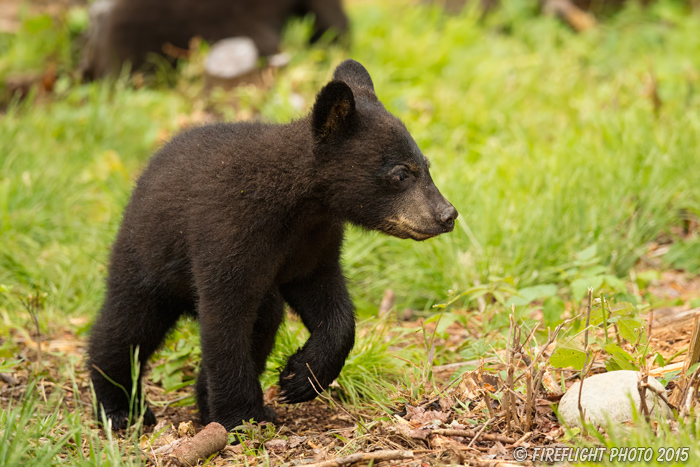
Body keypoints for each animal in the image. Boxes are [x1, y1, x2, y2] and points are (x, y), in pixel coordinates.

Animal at [86, 60, 460, 434]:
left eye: (426, 165)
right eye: (401, 174)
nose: (448, 214)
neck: (298, 206)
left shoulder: (313, 243)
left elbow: (329, 303)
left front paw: (300, 377)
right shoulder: (228, 234)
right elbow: (225, 322)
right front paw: (242, 417)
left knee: (265, 319)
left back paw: (205, 405)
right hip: (147, 259)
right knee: (126, 326)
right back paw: (120, 407)